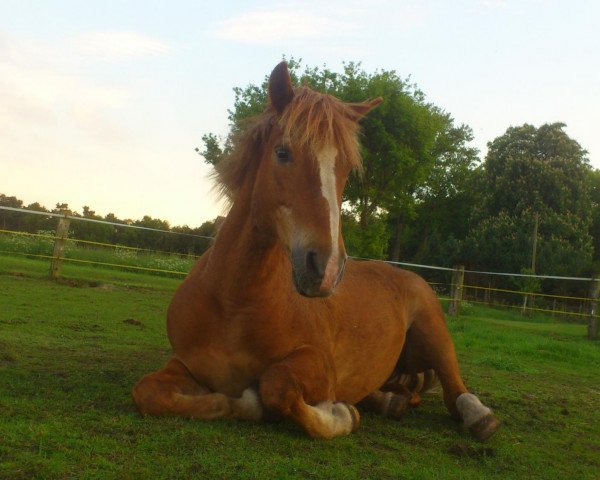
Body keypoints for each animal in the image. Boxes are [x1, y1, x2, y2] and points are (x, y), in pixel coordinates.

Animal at [134, 62, 500, 440]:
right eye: (282, 153)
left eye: (346, 167)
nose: (326, 269)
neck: (233, 303)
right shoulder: (185, 364)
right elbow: (148, 391)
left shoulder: (320, 366)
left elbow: (275, 384)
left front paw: (339, 415)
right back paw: (389, 401)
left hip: (434, 330)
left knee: (454, 389)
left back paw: (477, 416)